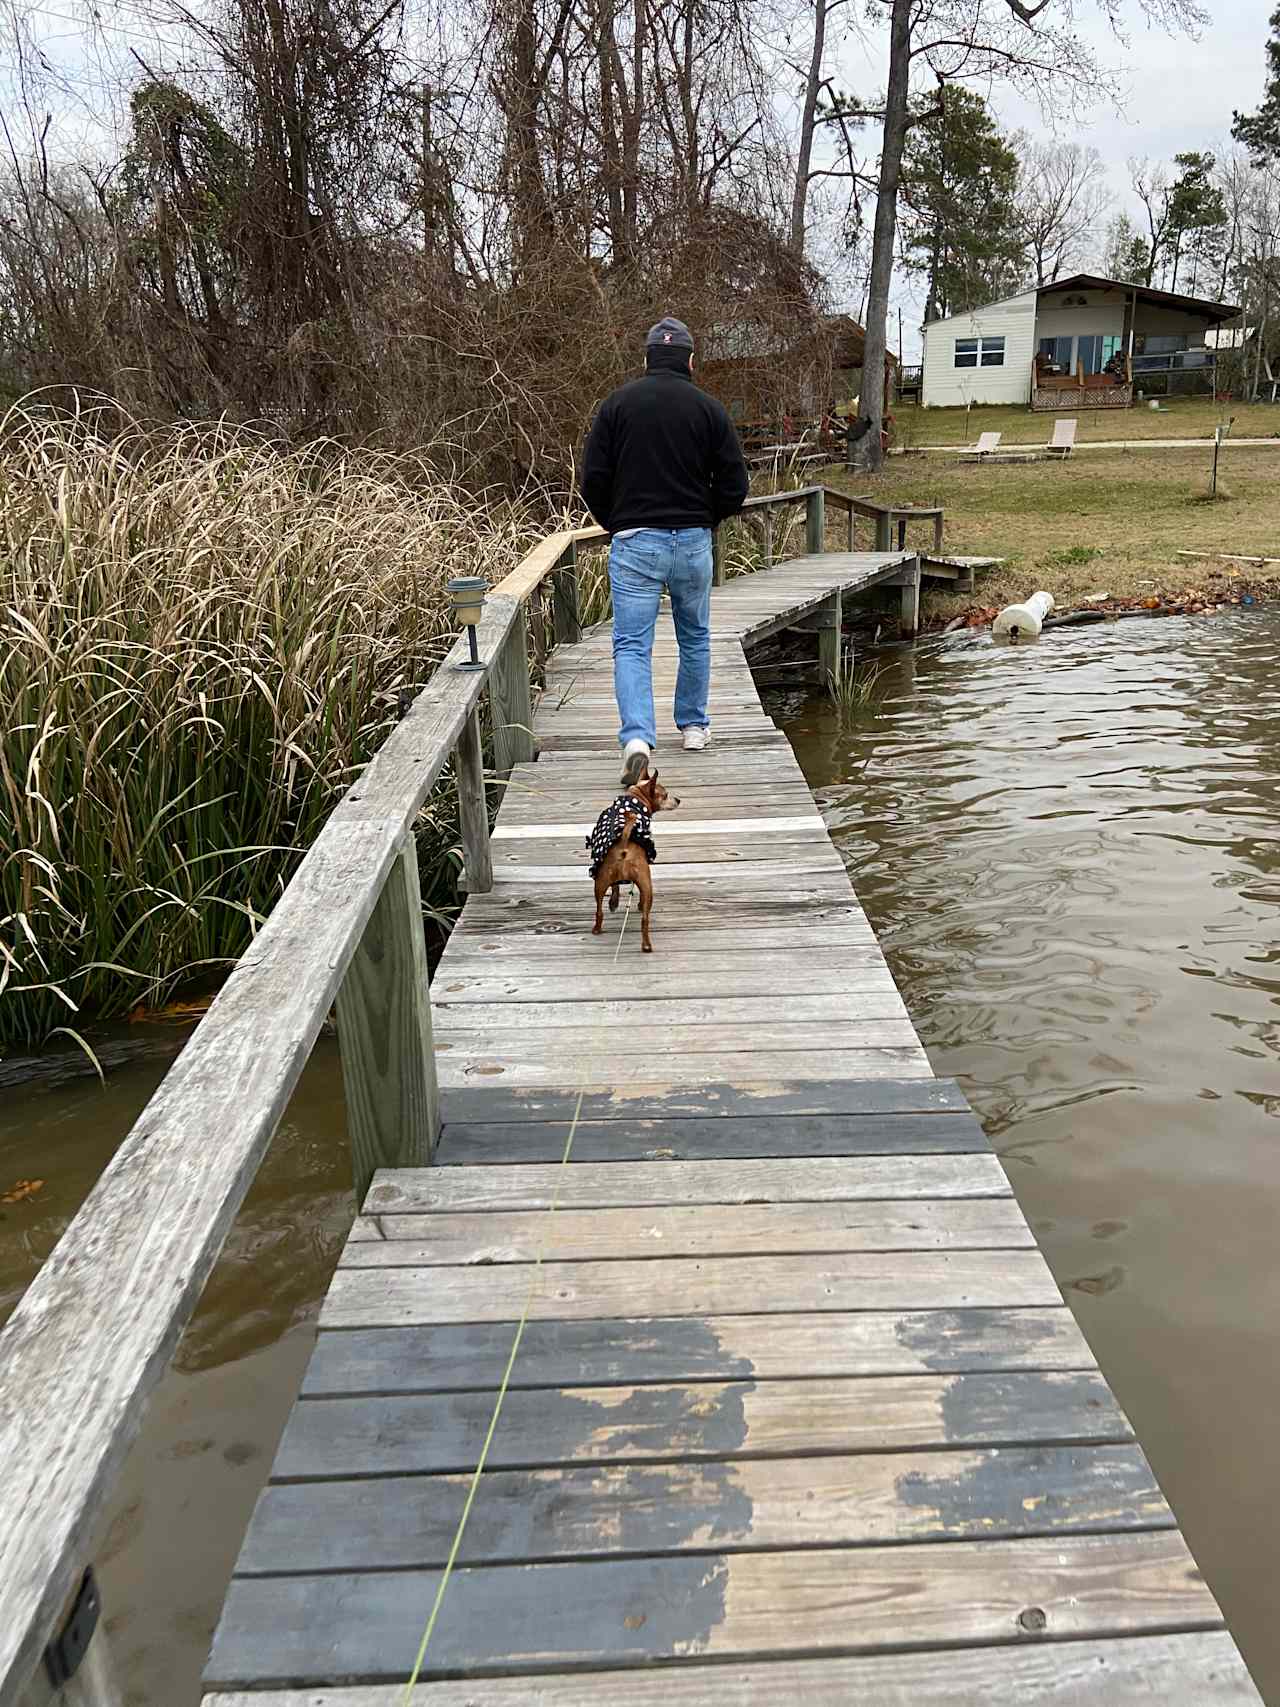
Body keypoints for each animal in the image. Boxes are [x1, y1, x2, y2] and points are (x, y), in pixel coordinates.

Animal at [590, 771, 682, 955]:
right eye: (665, 795)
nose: (678, 800)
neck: (635, 799)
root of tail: (624, 847)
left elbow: (615, 888)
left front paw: (613, 903)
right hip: (646, 885)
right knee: (644, 916)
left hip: (600, 882)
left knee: (600, 911)